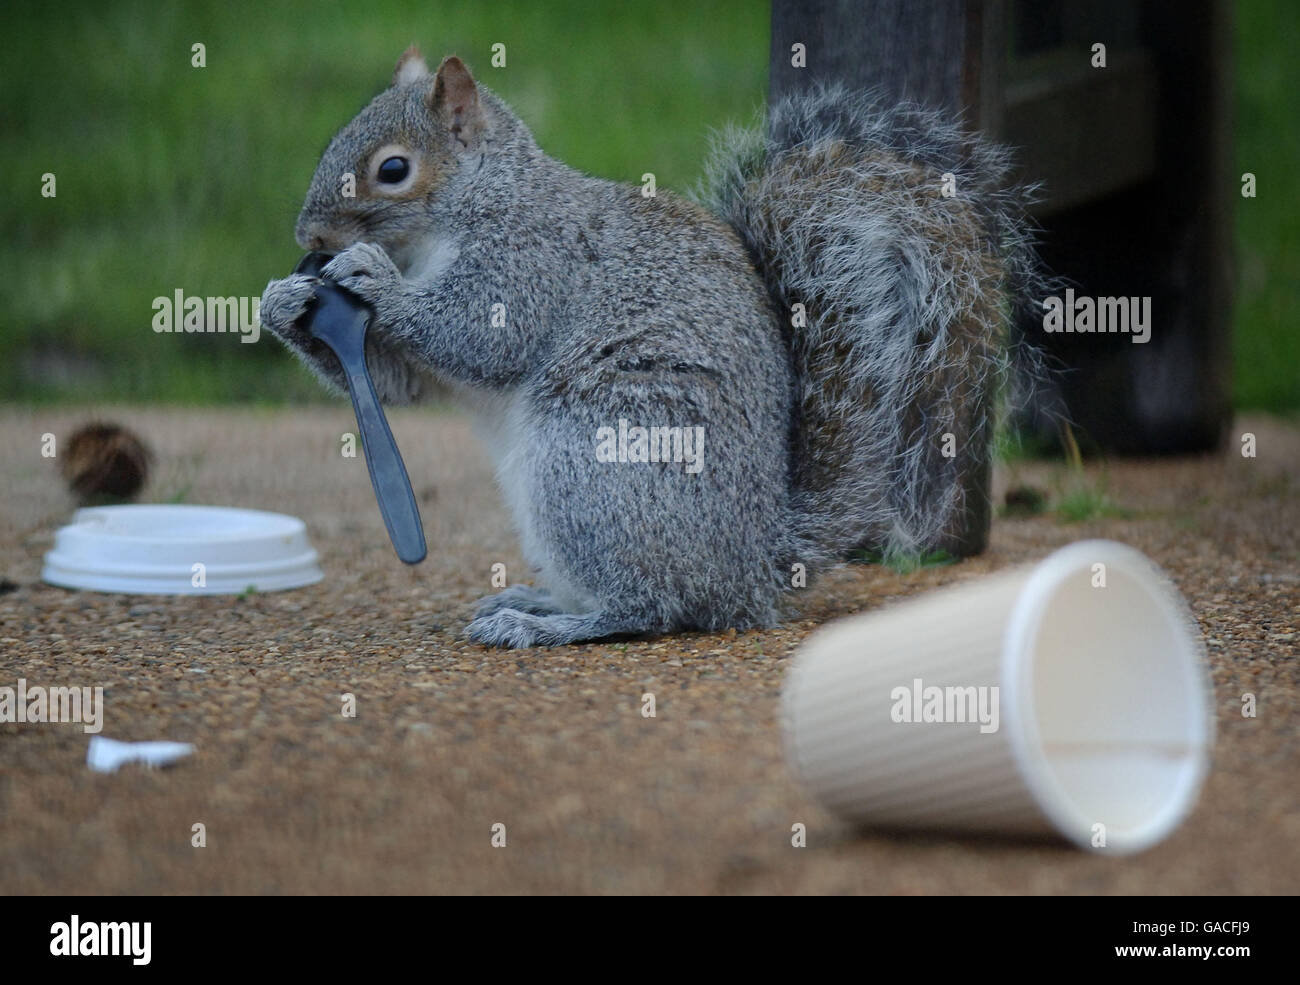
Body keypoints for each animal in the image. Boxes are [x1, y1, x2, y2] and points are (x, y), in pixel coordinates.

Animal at [261, 50, 1045, 647]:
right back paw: (541, 601)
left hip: (596, 464)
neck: (468, 209)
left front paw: (374, 278)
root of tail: (753, 568)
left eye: (393, 169)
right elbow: (400, 384)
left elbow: (484, 337)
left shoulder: (531, 258)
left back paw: (546, 626)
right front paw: (283, 303)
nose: (307, 236)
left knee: (654, 606)